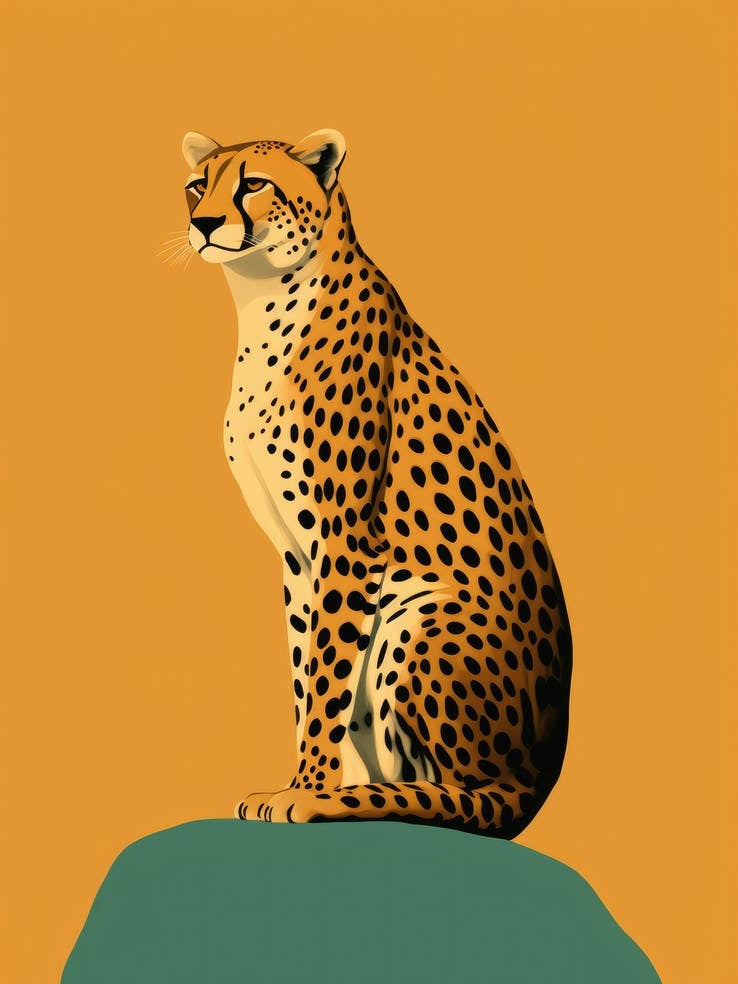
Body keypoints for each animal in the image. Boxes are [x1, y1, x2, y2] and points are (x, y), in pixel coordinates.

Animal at [181, 128, 573, 838]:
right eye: (200, 185)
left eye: (255, 184)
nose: (203, 222)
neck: (263, 300)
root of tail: (536, 777)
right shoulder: (296, 557)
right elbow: (305, 674)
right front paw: (303, 783)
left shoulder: (346, 545)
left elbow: (326, 679)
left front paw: (305, 792)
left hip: (419, 613)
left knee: (468, 797)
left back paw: (347, 801)